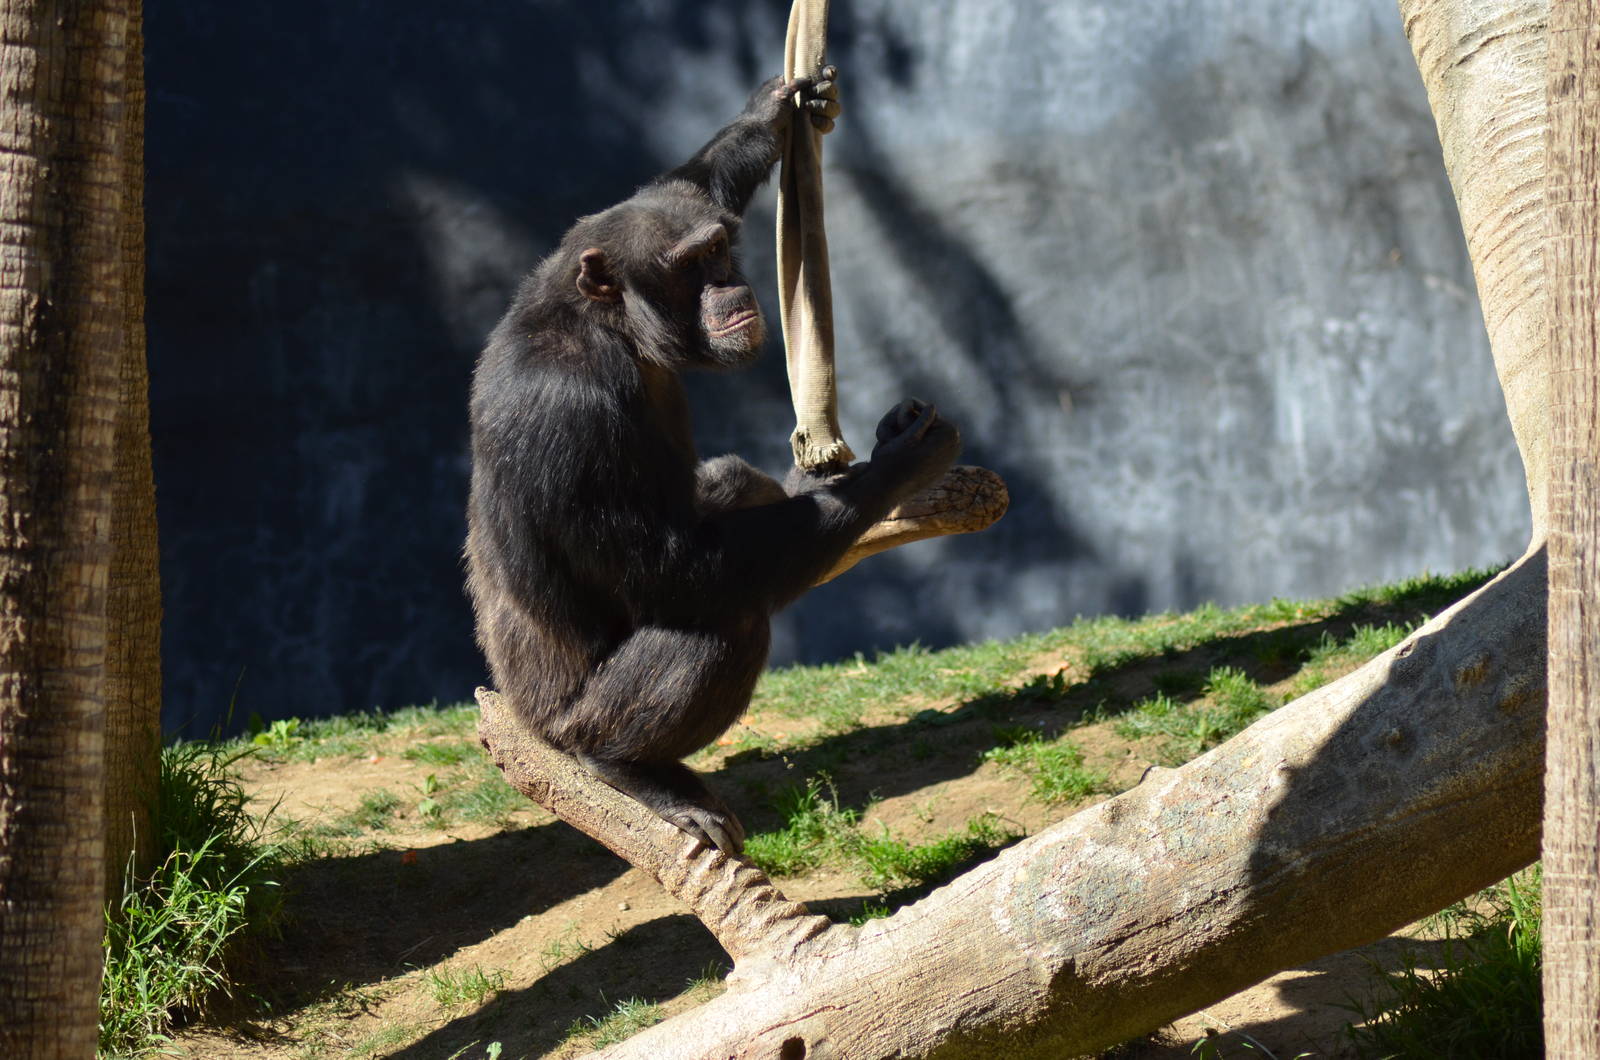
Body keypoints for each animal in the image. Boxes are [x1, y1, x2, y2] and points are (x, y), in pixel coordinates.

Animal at [465, 69, 959, 852]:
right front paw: (899, 464)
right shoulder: (564, 410)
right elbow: (674, 568)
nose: (727, 284)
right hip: (569, 722)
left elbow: (682, 183)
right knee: (725, 622)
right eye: (689, 266)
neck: (611, 329)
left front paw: (772, 112)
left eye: (719, 250)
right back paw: (630, 770)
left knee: (733, 481)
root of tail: (518, 713)